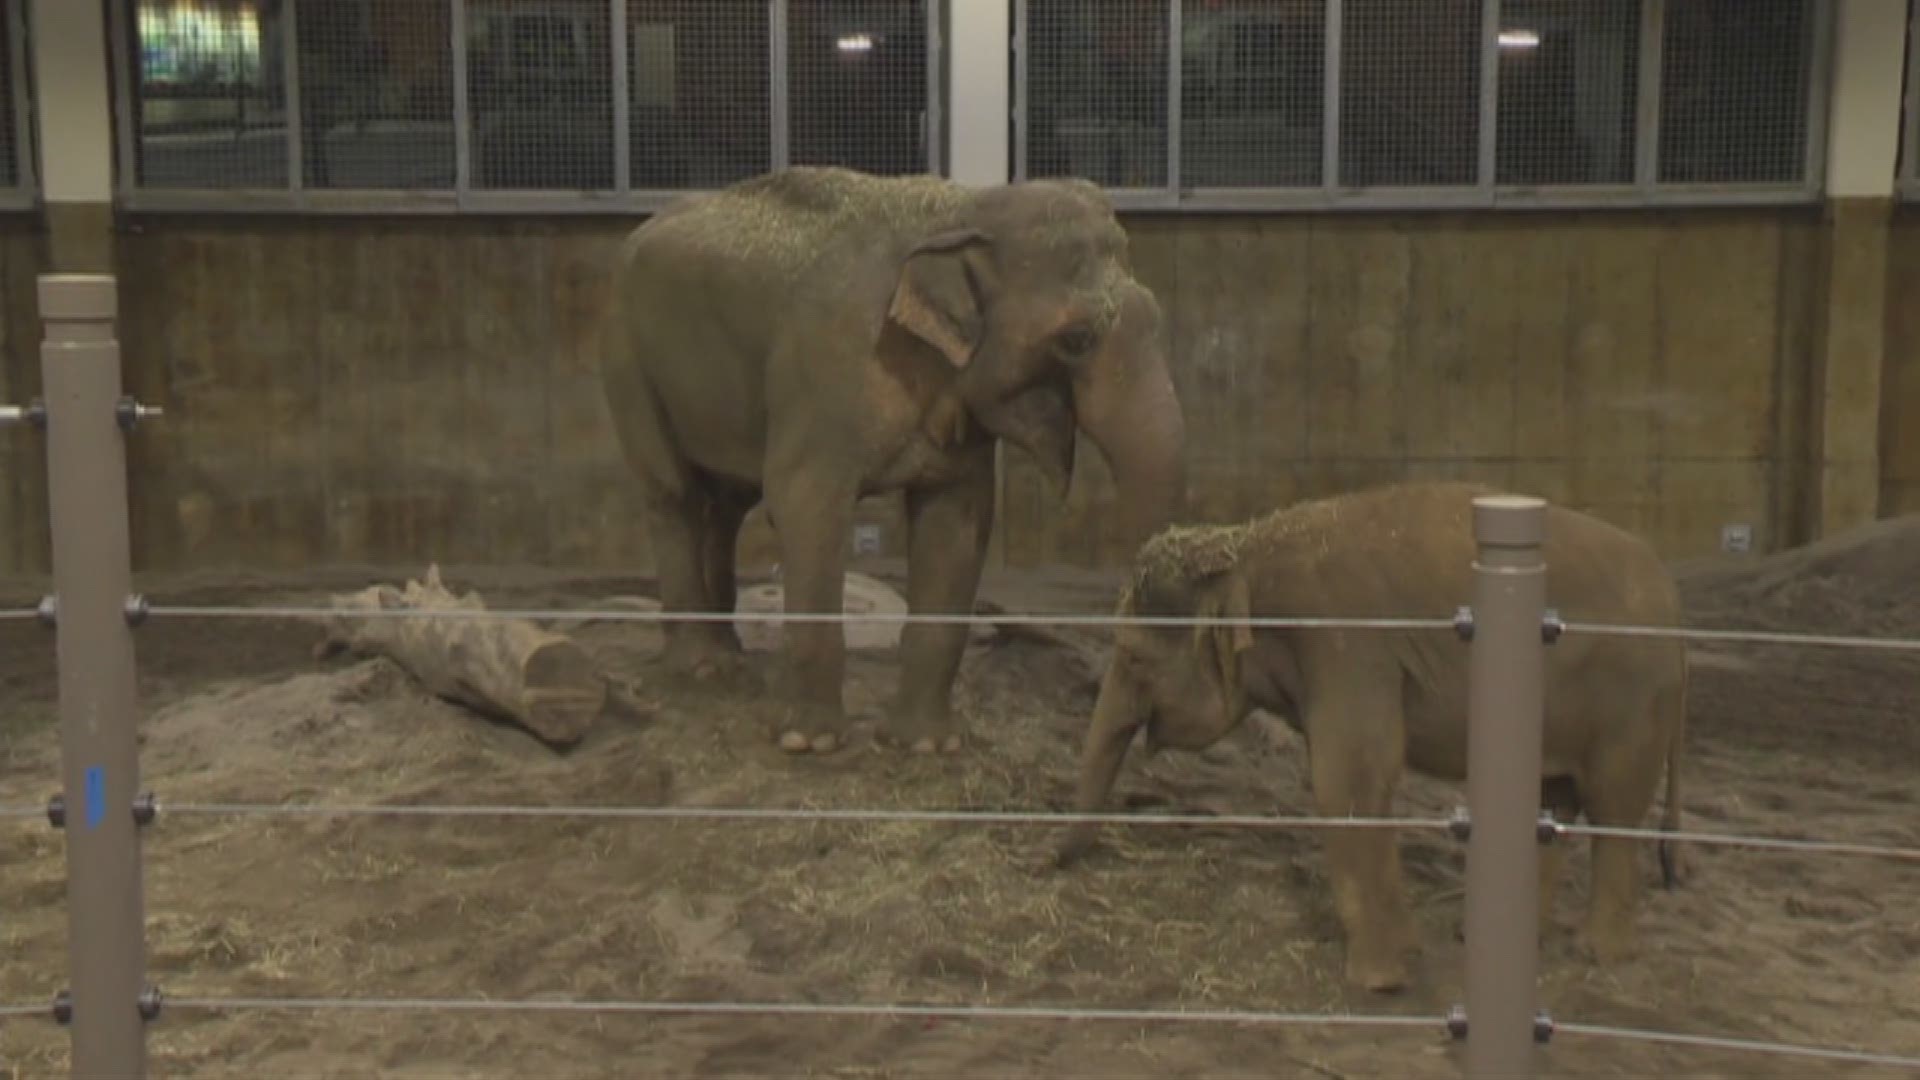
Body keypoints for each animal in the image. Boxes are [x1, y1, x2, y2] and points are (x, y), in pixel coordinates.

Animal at [606, 170, 1190, 757]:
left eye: (1158, 320)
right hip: (631, 358)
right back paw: (701, 670)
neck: (959, 211)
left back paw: (728, 661)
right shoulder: (827, 366)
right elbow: (804, 505)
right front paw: (806, 741)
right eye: (1076, 340)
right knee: (673, 493)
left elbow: (957, 521)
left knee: (726, 505)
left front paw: (927, 746)